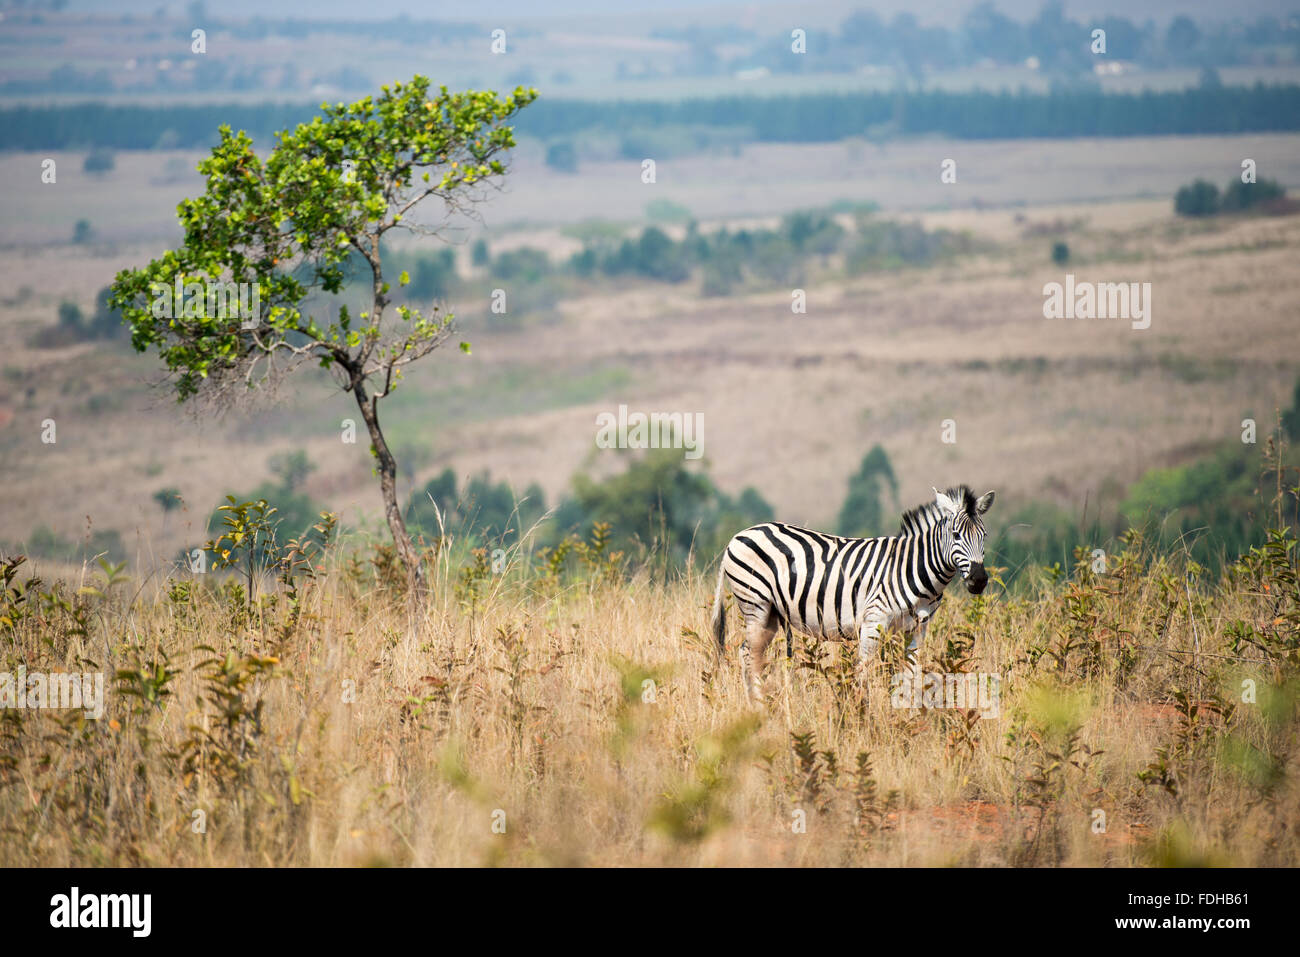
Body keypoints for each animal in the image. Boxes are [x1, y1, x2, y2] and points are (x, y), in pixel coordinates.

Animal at [709, 485, 995, 701]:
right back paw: (758, 706)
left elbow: (911, 673)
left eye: (984, 535)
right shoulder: (873, 620)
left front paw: (909, 716)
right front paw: (860, 714)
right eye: (956, 535)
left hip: (769, 612)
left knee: (751, 653)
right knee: (747, 653)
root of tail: (737, 536)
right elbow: (863, 671)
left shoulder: (917, 628)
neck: (912, 566)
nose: (979, 580)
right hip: (754, 602)